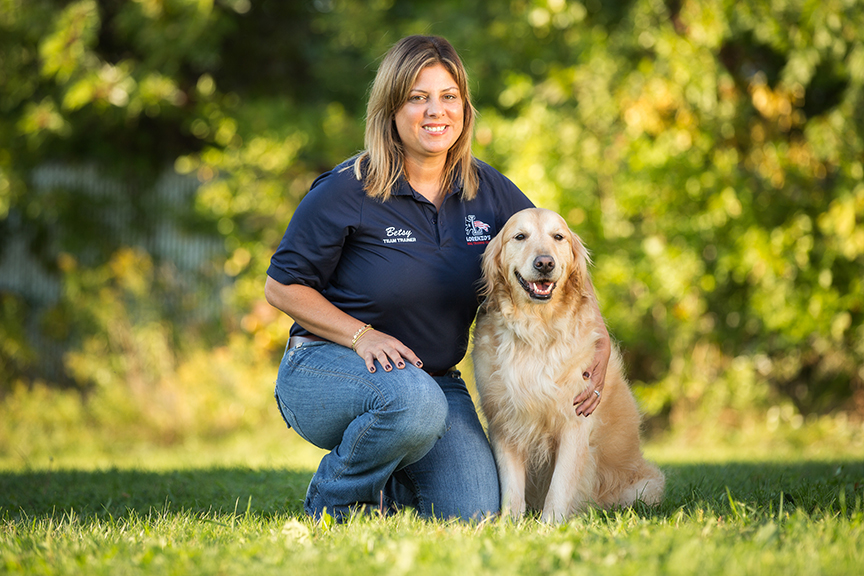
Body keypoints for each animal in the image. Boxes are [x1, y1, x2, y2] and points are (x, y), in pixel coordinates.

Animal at [472, 208, 668, 520]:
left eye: (558, 237)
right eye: (520, 236)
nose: (544, 263)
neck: (536, 330)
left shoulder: (574, 423)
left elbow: (560, 486)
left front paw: (550, 525)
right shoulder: (504, 423)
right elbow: (511, 490)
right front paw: (509, 525)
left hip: (645, 487)